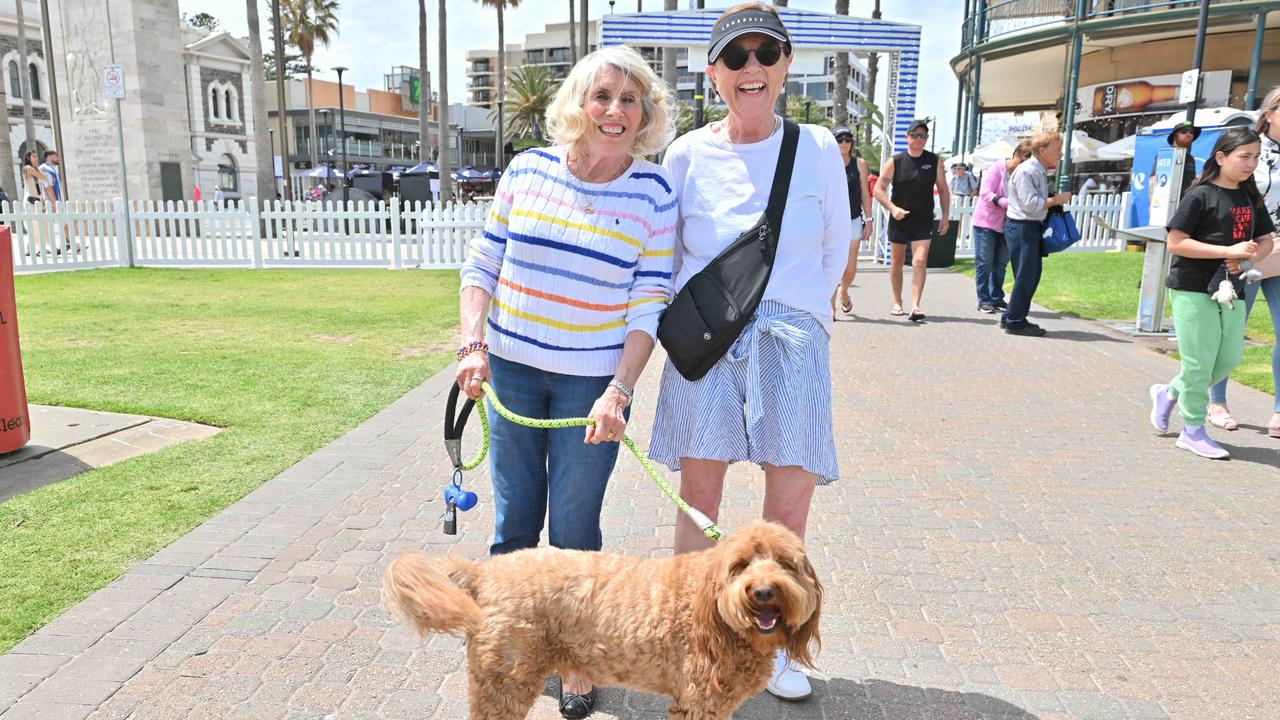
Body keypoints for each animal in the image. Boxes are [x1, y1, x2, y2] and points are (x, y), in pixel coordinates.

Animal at [378, 517, 819, 712]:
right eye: (740, 565)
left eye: (785, 563)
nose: (763, 591)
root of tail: (485, 572)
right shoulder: (701, 699)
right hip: (505, 678)